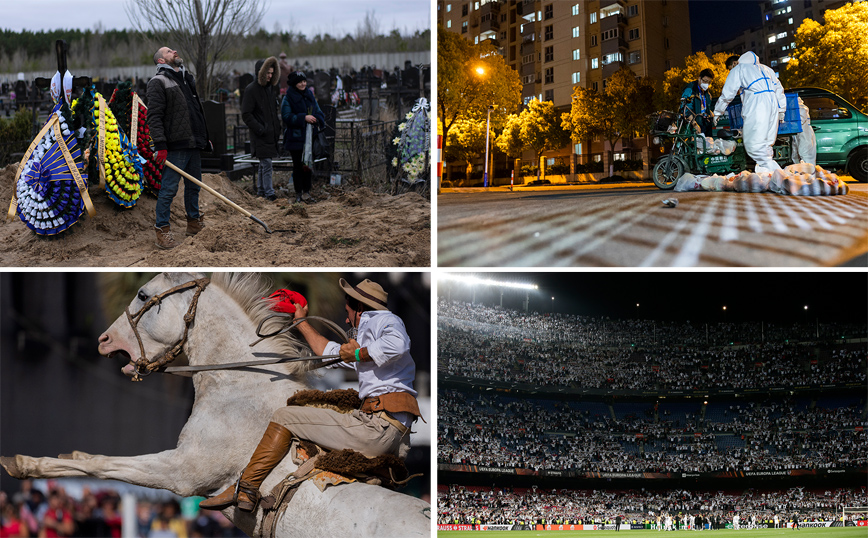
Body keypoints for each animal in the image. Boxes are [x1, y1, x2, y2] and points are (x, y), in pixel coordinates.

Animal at [0, 272, 430, 536]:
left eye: (142, 295)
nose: (105, 340)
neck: (238, 386)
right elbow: (93, 460)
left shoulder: (182, 473)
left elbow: (106, 466)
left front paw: (24, 464)